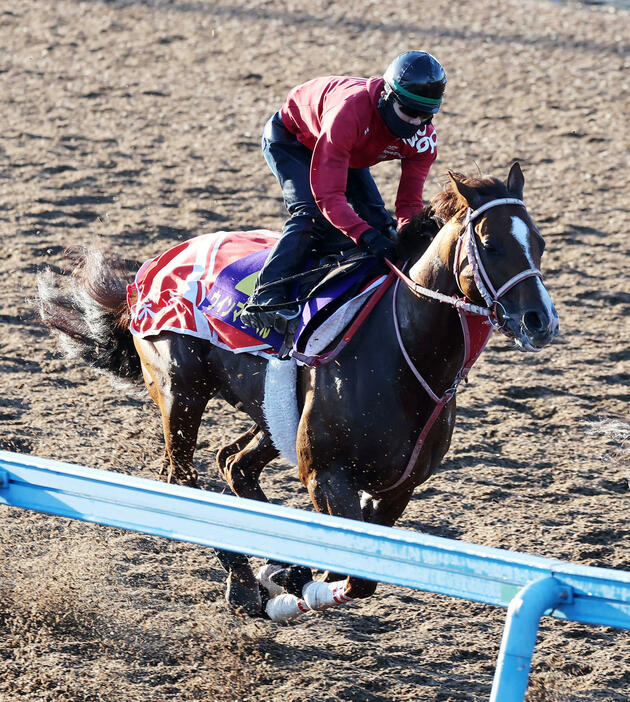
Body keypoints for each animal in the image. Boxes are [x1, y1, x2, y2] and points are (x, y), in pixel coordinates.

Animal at [38, 162, 556, 620]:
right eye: (489, 244)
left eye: (540, 242)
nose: (540, 321)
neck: (404, 355)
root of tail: (150, 270)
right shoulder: (325, 474)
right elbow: (353, 575)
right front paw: (292, 587)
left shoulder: (397, 488)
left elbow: (360, 567)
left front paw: (289, 572)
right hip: (181, 392)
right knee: (182, 478)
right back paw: (244, 584)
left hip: (272, 414)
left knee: (234, 463)